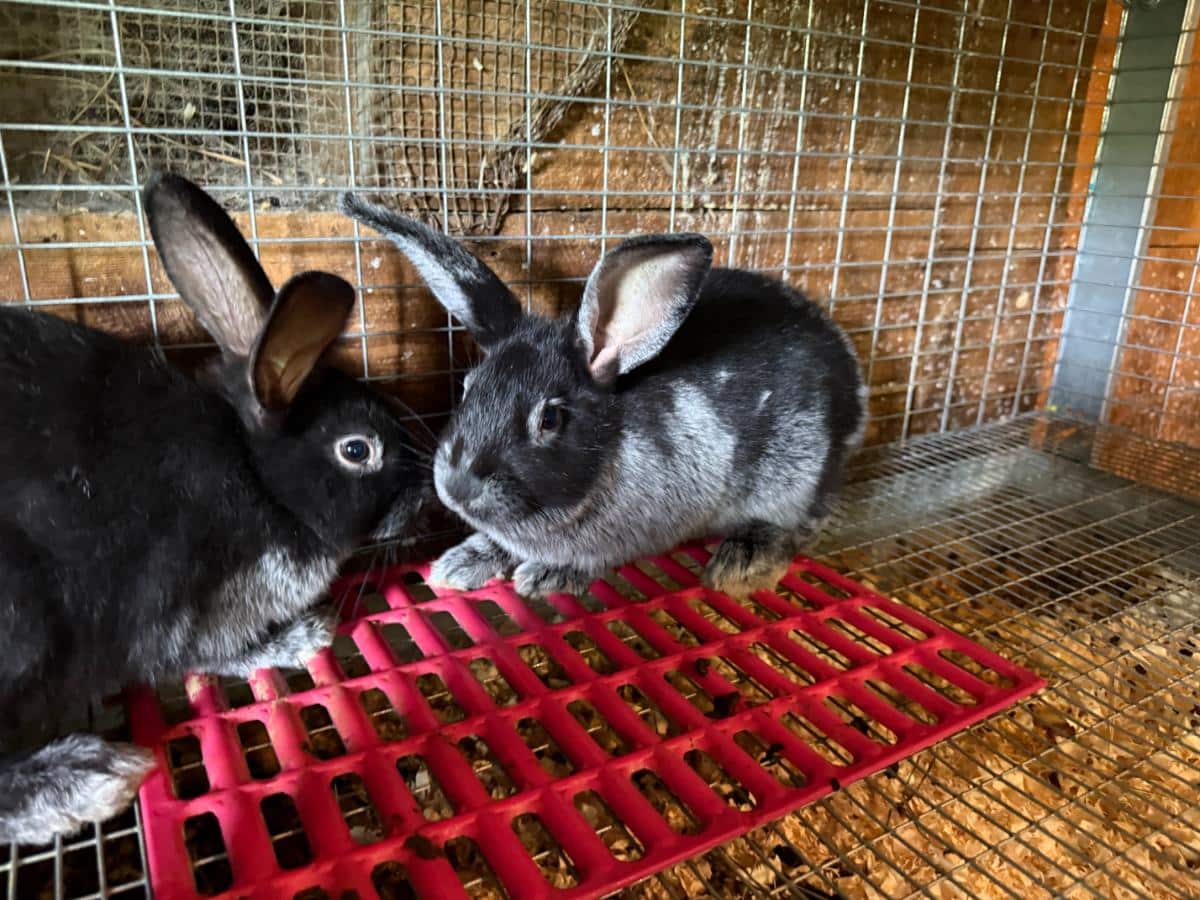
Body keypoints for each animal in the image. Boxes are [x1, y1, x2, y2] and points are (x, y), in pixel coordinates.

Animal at [0, 173, 427, 845]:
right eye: (357, 450)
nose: (425, 494)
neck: (258, 478)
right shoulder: (192, 609)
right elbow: (211, 655)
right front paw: (302, 635)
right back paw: (84, 779)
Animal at [341, 193, 866, 600]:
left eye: (550, 419)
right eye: (469, 388)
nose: (456, 486)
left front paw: (548, 575)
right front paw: (462, 561)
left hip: (795, 474)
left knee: (799, 526)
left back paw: (742, 563)